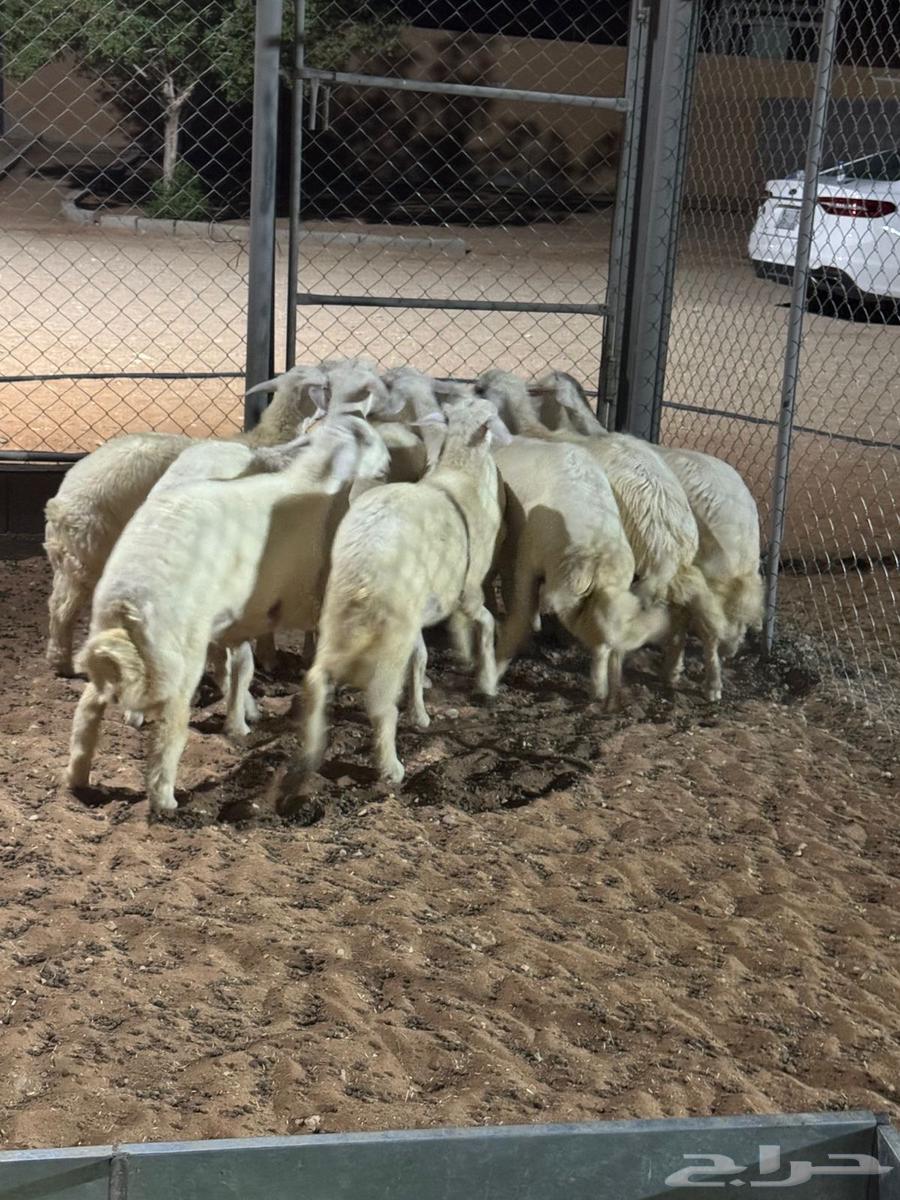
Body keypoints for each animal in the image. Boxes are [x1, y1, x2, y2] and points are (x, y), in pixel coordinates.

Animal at [66, 417, 389, 816]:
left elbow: (241, 665)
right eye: (370, 439)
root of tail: (127, 601)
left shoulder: (242, 614)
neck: (311, 479)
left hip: (113, 650)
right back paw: (164, 798)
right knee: (169, 729)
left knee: (87, 709)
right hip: (179, 656)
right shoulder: (296, 592)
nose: (389, 464)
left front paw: (240, 716)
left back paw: (78, 777)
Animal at [287, 392, 509, 791]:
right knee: (379, 706)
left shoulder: (418, 613)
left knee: (317, 677)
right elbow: (486, 625)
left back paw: (311, 752)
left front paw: (419, 713)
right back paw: (390, 767)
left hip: (342, 610)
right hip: (390, 630)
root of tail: (365, 556)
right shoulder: (467, 592)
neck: (462, 473)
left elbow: (420, 658)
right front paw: (486, 681)